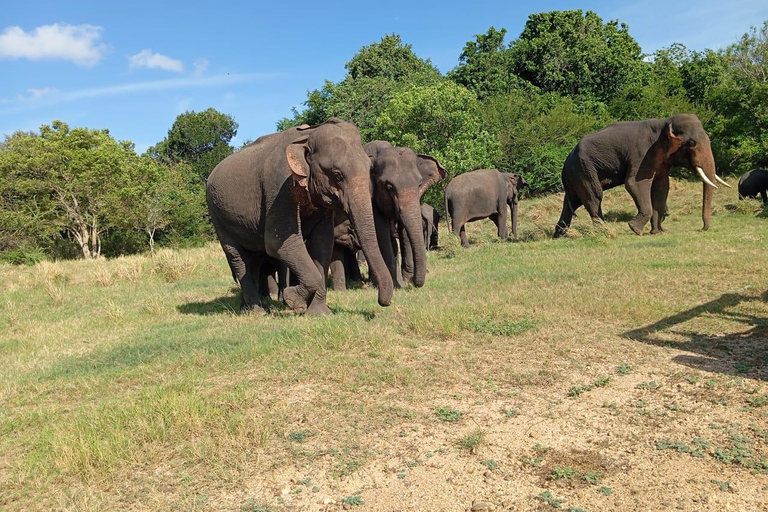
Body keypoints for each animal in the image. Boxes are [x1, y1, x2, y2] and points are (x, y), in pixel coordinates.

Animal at [206, 118, 392, 314]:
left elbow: (323, 244)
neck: (308, 135)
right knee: (237, 256)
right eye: (337, 175)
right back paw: (257, 311)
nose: (383, 302)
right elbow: (278, 243)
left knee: (253, 260)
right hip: (217, 214)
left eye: (369, 169)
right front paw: (293, 301)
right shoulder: (280, 187)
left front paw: (319, 313)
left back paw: (250, 308)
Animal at [556, 113, 728, 237]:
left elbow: (661, 187)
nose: (701, 229)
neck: (665, 123)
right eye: (692, 143)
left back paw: (560, 235)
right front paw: (635, 230)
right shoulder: (643, 154)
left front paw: (658, 232)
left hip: (577, 174)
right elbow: (635, 183)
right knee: (594, 197)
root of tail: (566, 162)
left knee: (574, 201)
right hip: (583, 170)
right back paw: (604, 233)